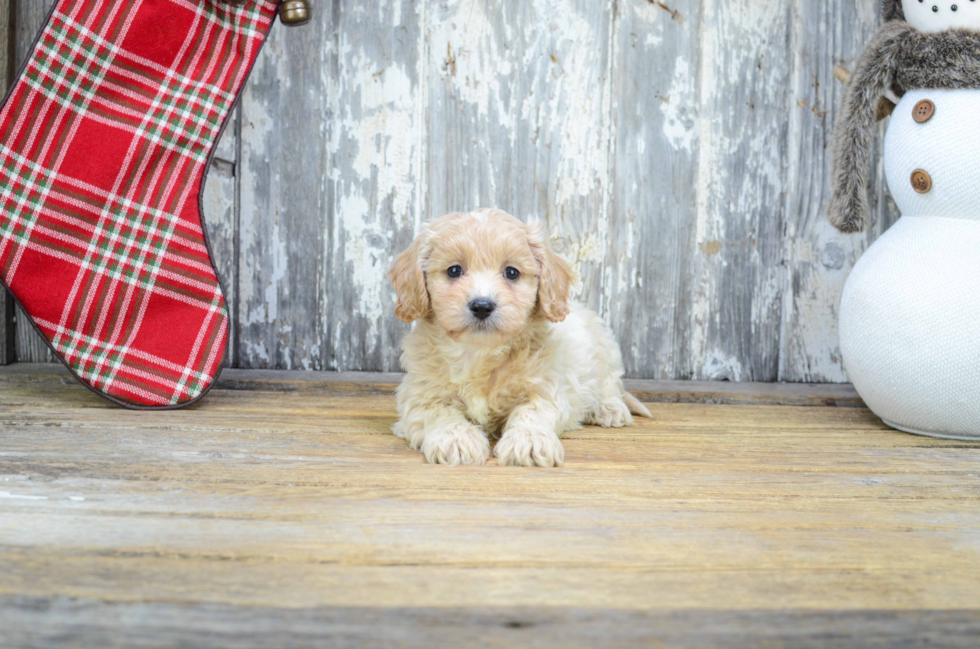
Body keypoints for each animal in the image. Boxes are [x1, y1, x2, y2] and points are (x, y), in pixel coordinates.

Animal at [384, 208, 652, 466]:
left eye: (511, 272)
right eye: (454, 270)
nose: (482, 306)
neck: (479, 353)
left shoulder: (546, 388)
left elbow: (531, 412)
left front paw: (530, 441)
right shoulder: (420, 395)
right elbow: (440, 414)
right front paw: (456, 439)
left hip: (605, 347)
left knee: (610, 383)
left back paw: (609, 408)